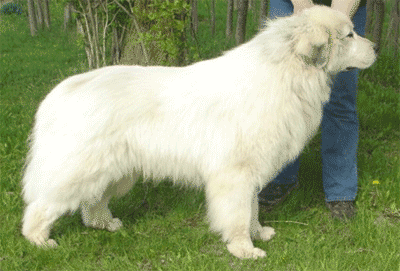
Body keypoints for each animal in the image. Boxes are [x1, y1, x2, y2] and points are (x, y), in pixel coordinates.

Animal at [21, 5, 376, 260]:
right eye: (349, 35)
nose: (376, 47)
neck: (286, 73)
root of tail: (61, 91)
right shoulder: (234, 174)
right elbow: (238, 214)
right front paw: (244, 249)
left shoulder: (248, 173)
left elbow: (252, 209)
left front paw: (258, 233)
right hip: (80, 170)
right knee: (42, 205)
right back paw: (38, 240)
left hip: (114, 172)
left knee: (91, 204)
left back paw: (106, 224)